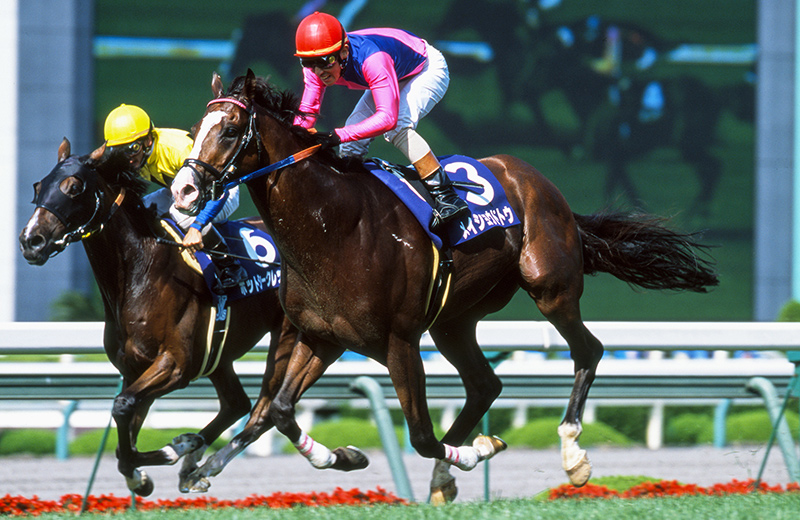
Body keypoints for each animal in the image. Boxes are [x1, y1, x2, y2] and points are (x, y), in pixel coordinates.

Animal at [18, 138, 297, 497]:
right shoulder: (134, 368)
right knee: (236, 403)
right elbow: (125, 431)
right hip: (217, 356)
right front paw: (144, 471)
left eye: (74, 187)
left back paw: (195, 455)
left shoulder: (175, 365)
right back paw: (192, 460)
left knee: (262, 410)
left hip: (286, 336)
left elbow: (122, 407)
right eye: (39, 186)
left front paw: (164, 456)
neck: (140, 273)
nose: (30, 240)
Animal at [171, 70, 717, 503]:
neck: (333, 226)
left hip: (551, 287)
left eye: (231, 129)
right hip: (454, 321)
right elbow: (280, 410)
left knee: (588, 351)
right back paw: (446, 475)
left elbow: (418, 435)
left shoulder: (400, 342)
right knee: (485, 384)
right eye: (195, 131)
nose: (183, 190)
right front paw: (346, 456)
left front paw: (476, 452)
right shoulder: (321, 335)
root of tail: (539, 181)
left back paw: (571, 453)